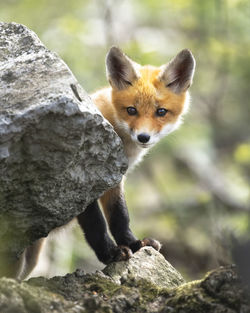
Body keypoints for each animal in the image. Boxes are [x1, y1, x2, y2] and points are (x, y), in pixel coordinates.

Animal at [16, 47, 195, 278]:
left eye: (161, 112)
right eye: (131, 110)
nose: (143, 137)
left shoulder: (114, 180)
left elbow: (120, 216)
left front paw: (135, 244)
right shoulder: (80, 181)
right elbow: (96, 224)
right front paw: (111, 254)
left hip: (31, 259)